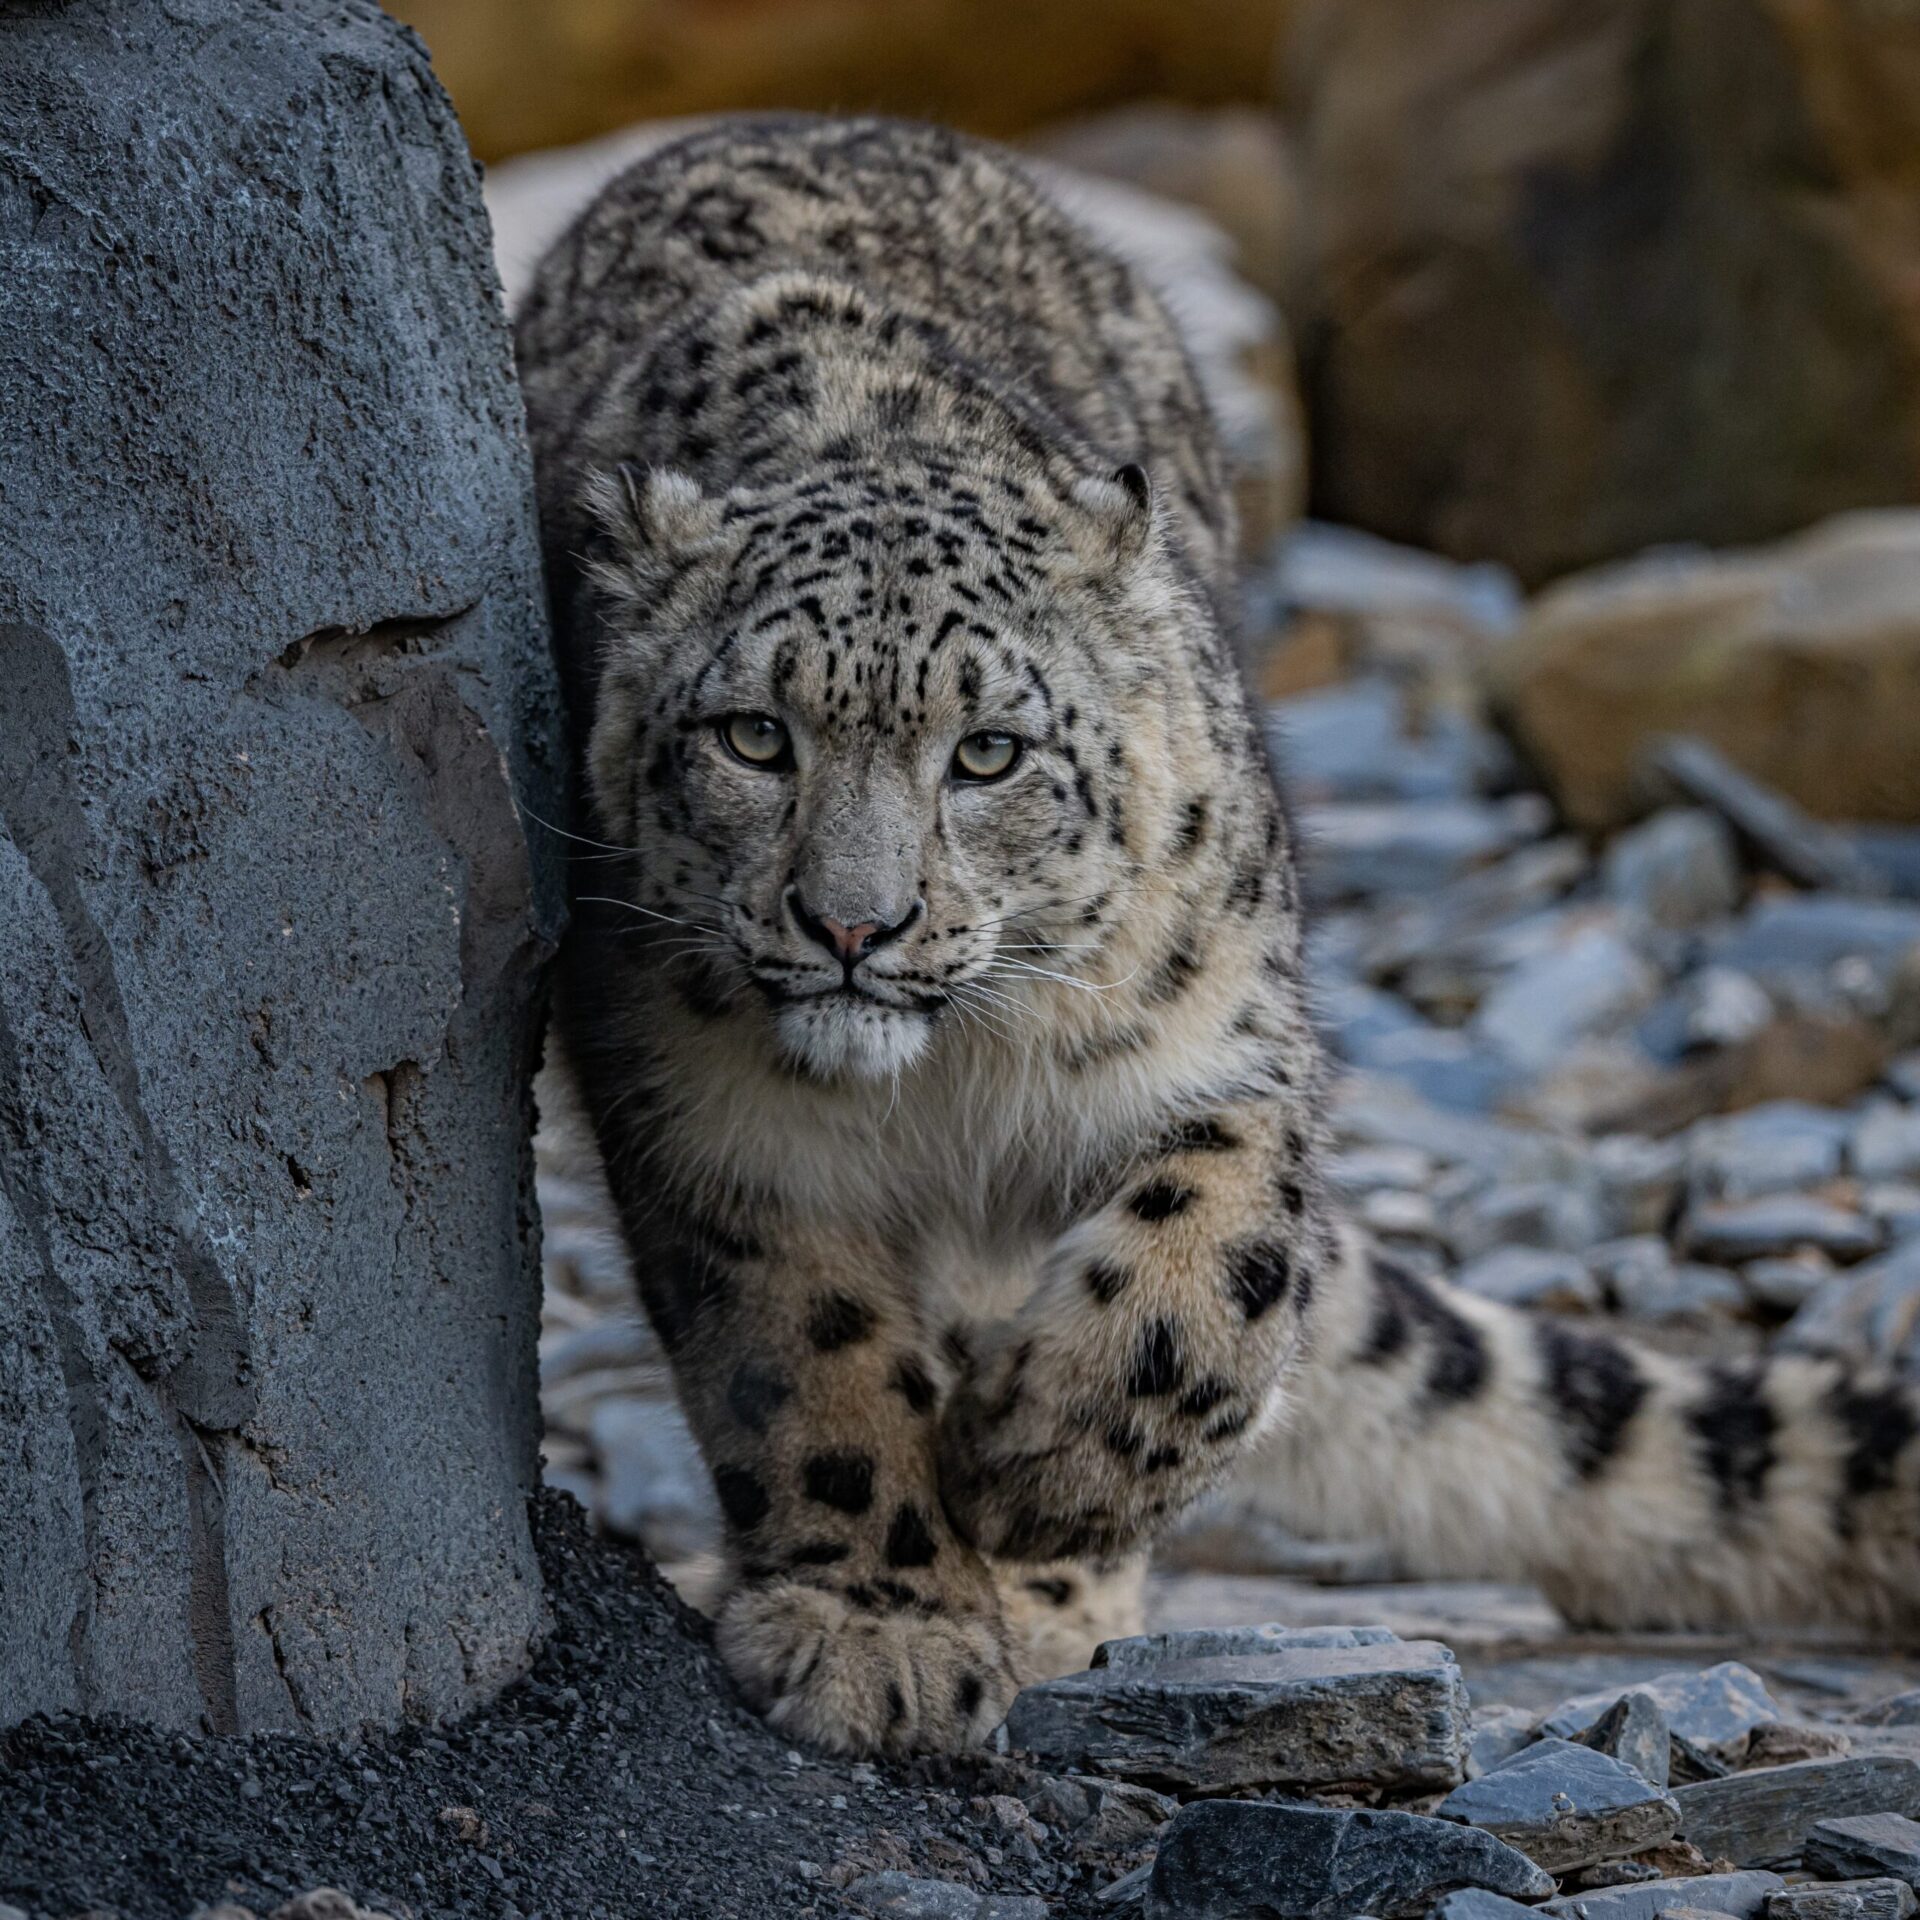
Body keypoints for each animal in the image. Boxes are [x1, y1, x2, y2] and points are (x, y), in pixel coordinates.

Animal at [514, 116, 1920, 1758]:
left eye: (986, 754)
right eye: (753, 737)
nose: (855, 923)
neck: (946, 1078)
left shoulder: (1218, 1034)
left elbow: (1218, 1262)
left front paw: (1047, 1474)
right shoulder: (714, 1115)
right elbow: (810, 1353)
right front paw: (880, 1629)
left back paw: (1060, 1583)